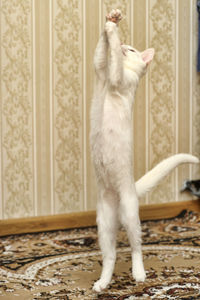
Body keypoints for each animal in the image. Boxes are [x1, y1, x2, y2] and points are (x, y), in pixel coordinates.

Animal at [90, 9, 199, 292]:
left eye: (132, 49)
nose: (126, 47)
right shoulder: (100, 70)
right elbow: (101, 55)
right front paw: (110, 22)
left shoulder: (118, 79)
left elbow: (113, 61)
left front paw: (113, 32)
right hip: (104, 223)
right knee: (110, 254)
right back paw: (102, 283)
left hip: (130, 213)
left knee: (136, 246)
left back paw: (139, 274)